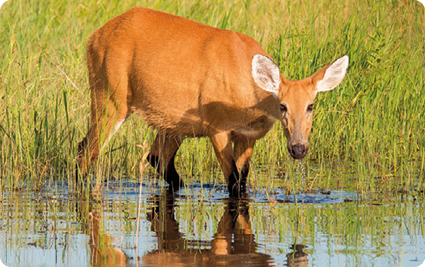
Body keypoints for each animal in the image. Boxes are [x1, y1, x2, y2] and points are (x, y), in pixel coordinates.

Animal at [76, 7, 348, 198]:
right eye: (283, 106)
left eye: (311, 106)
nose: (298, 148)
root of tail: (92, 38)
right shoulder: (217, 127)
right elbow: (233, 183)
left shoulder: (246, 136)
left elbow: (242, 182)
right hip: (110, 96)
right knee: (86, 151)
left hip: (172, 120)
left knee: (155, 158)